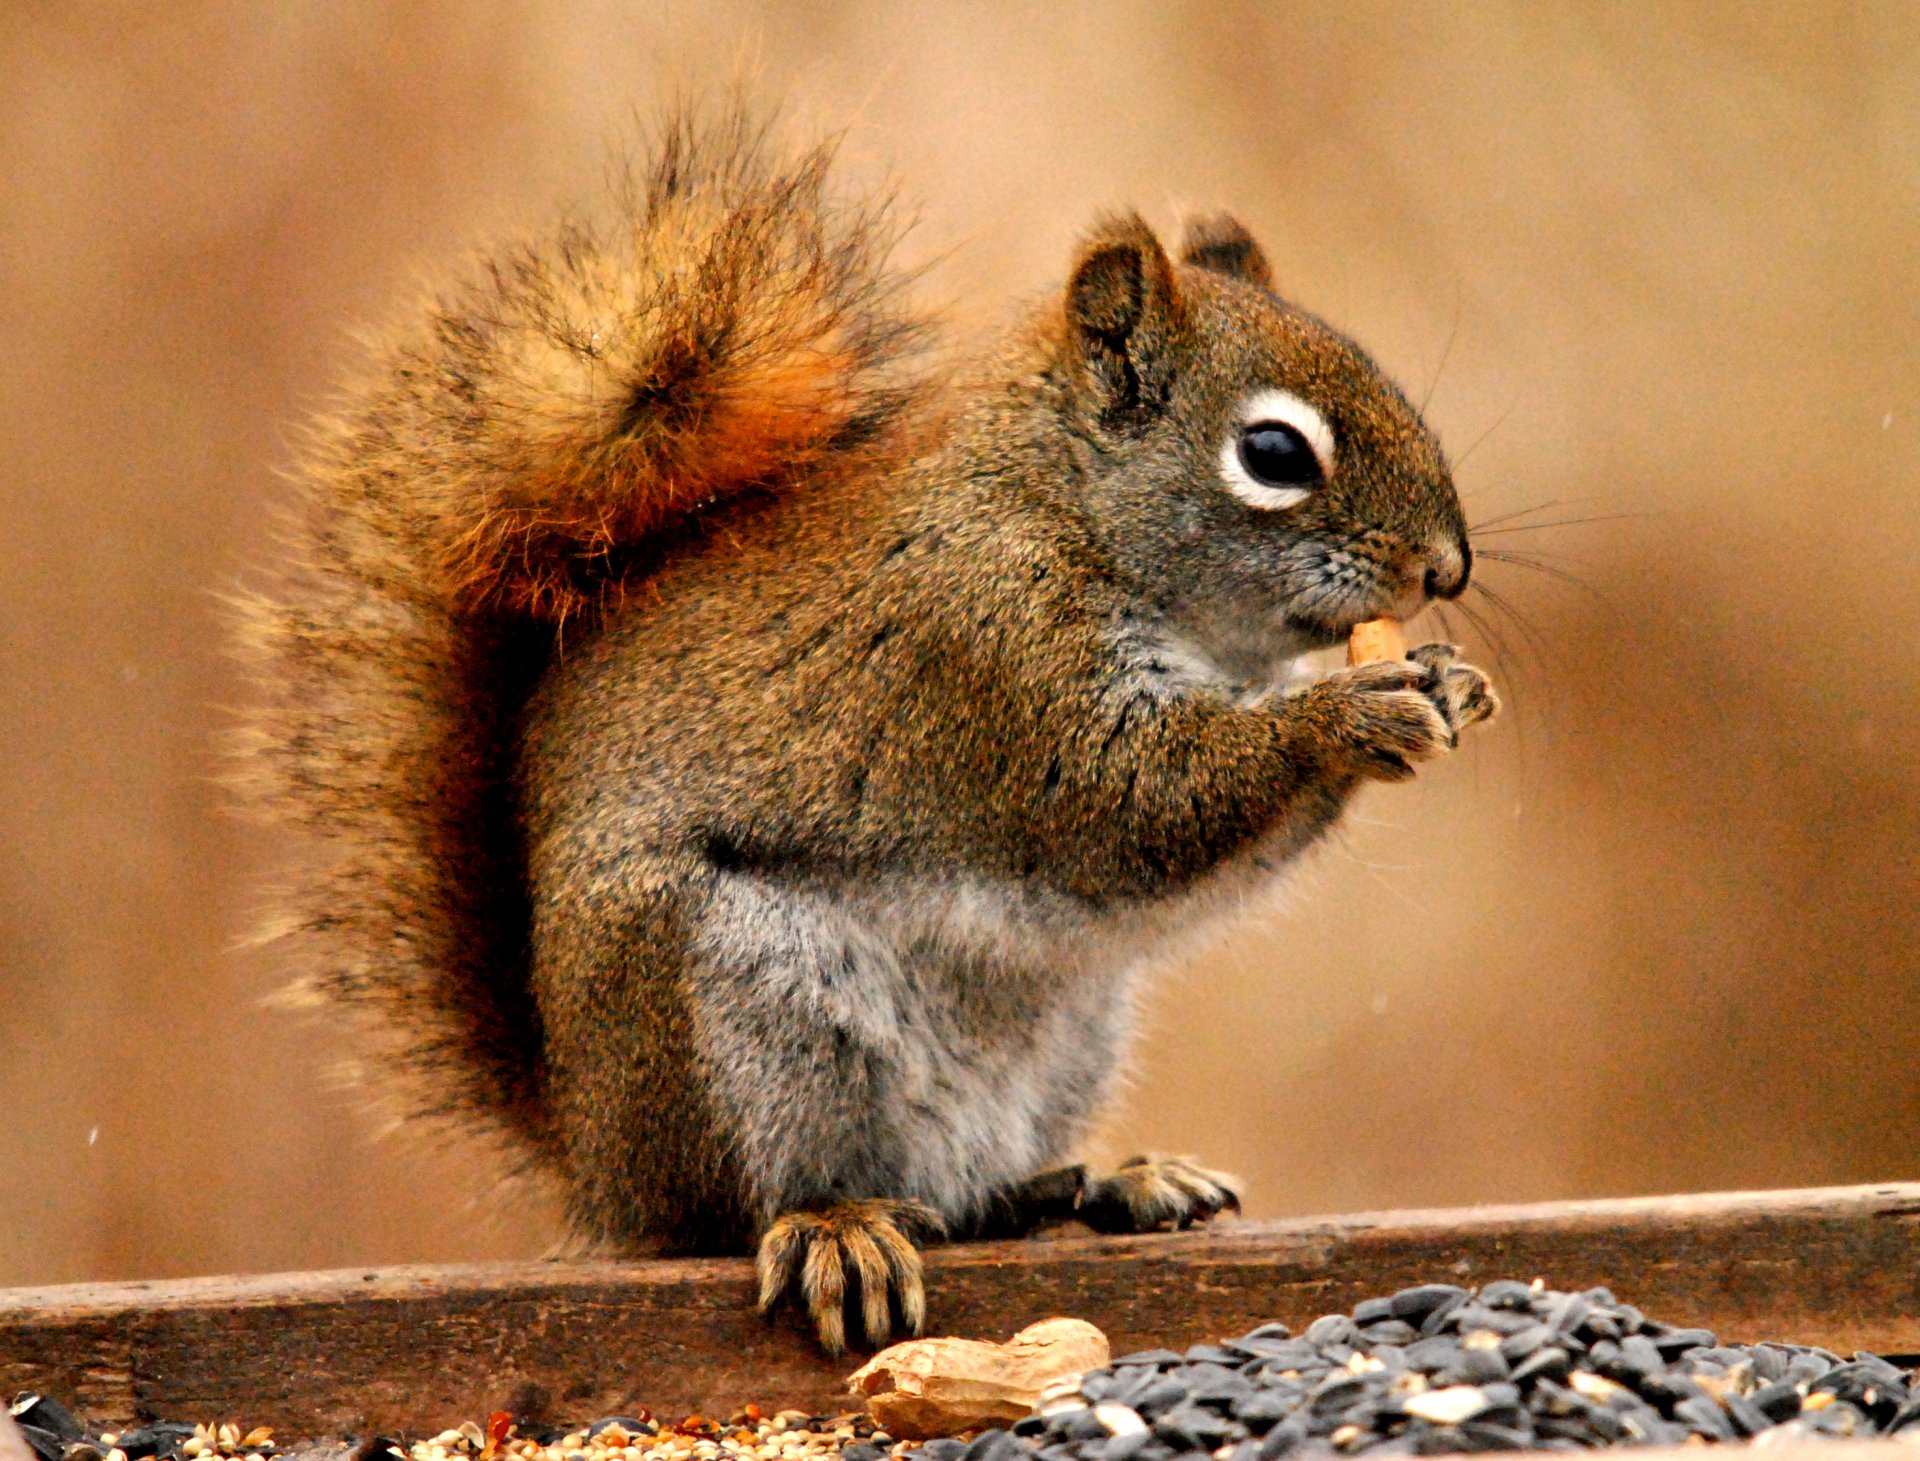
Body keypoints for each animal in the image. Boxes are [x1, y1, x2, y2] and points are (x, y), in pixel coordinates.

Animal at [232, 108, 1497, 1351]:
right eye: (1273, 454)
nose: (1447, 569)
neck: (1062, 509)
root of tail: (599, 1176)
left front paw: (1451, 681)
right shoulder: (989, 659)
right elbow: (1133, 805)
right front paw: (1346, 713)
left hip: (1072, 1031)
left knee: (975, 1197)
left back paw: (1104, 1185)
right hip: (737, 1007)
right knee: (745, 1208)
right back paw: (836, 1228)